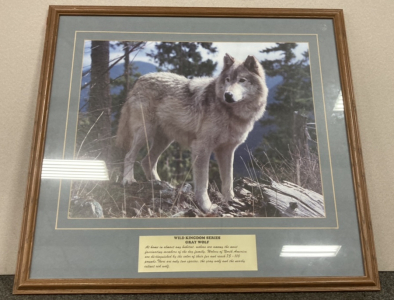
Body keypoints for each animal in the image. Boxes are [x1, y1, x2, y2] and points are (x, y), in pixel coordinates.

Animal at [114, 54, 268, 213]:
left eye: (242, 80)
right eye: (228, 79)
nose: (228, 95)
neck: (231, 114)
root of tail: (139, 80)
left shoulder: (227, 151)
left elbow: (228, 180)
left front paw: (230, 201)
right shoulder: (201, 147)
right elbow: (203, 182)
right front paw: (207, 206)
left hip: (164, 141)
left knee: (146, 161)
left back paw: (159, 184)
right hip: (144, 133)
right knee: (129, 155)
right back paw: (128, 180)